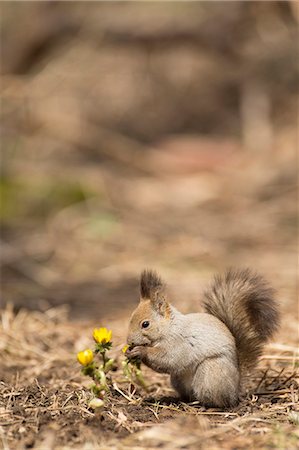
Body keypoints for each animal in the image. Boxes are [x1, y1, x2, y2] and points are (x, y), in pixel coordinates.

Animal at [125, 268, 280, 410]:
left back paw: (205, 406)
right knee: (188, 395)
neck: (169, 328)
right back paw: (175, 399)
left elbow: (167, 358)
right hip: (178, 379)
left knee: (220, 401)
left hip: (210, 373)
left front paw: (140, 351)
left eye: (145, 324)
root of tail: (236, 387)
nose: (129, 342)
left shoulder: (179, 343)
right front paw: (129, 352)